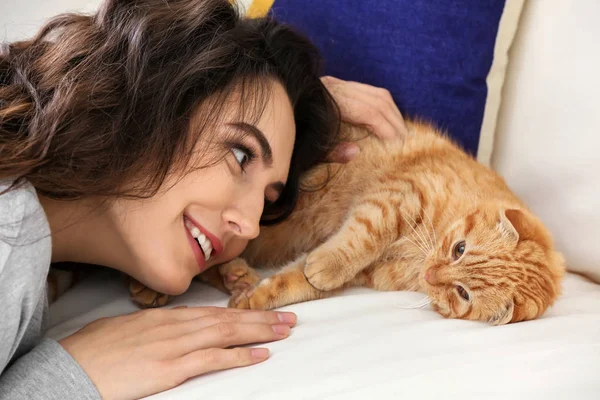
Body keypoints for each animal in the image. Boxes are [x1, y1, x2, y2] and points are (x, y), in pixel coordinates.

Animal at [129, 121, 564, 324]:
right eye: (459, 249)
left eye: (462, 293)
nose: (432, 274)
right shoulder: (396, 198)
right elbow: (361, 237)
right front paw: (325, 264)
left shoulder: (365, 274)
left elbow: (296, 281)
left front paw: (256, 297)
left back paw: (233, 278)